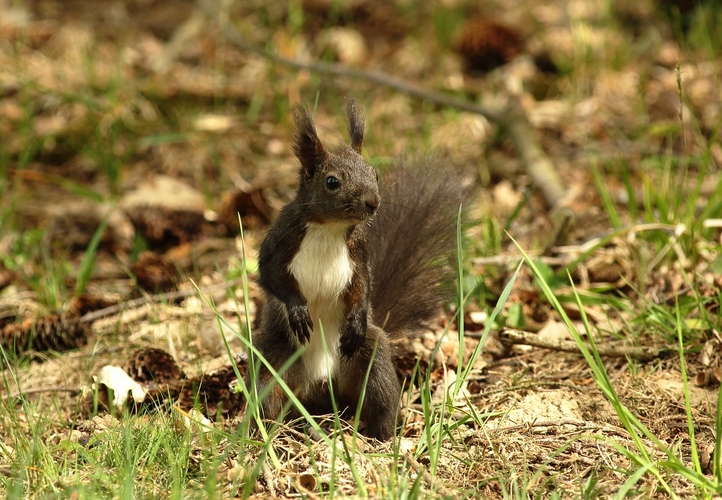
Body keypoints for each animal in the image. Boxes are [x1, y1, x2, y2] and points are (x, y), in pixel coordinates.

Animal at [248, 101, 470, 442]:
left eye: (375, 173)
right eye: (331, 182)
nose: (373, 202)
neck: (329, 228)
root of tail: (323, 388)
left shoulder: (359, 251)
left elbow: (364, 284)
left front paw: (356, 319)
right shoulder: (280, 238)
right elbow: (269, 274)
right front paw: (298, 309)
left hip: (370, 360)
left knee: (379, 400)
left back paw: (382, 436)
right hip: (273, 359)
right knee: (267, 396)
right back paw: (266, 433)